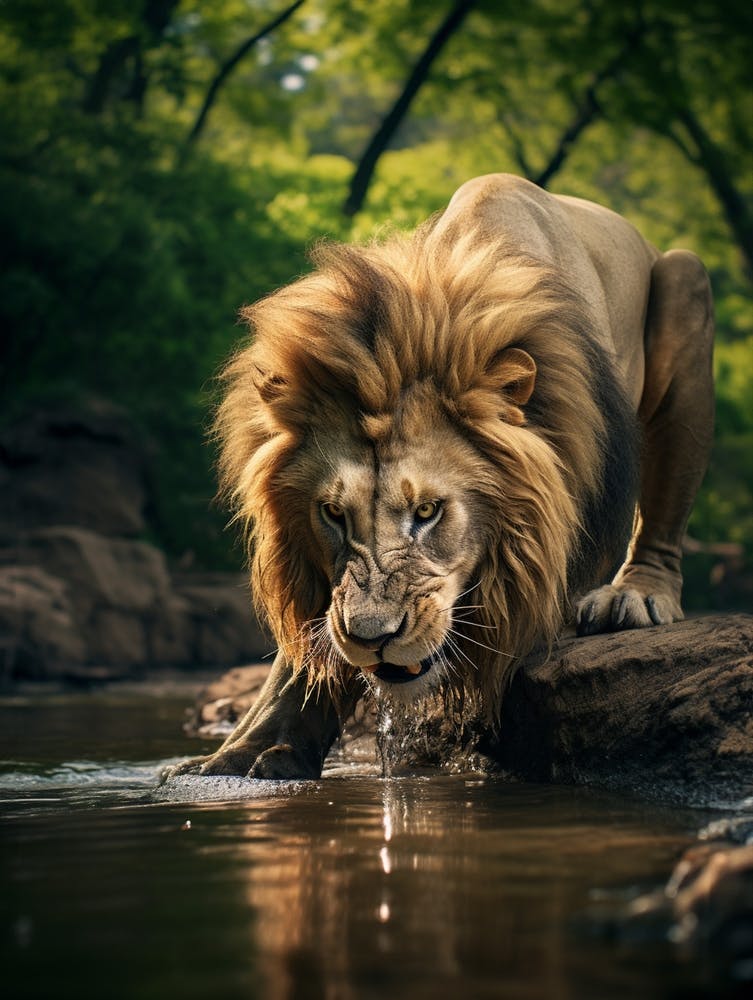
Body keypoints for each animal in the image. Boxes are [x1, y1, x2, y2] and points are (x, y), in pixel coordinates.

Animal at [166, 173, 714, 781]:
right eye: (332, 513)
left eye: (427, 511)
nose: (373, 638)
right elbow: (305, 653)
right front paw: (243, 754)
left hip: (687, 281)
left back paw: (634, 598)